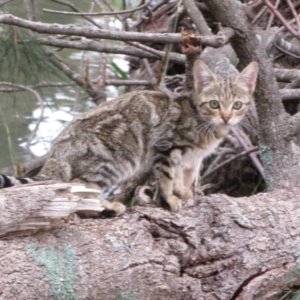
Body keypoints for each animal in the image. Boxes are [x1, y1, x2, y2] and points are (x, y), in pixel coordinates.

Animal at [0, 61, 258, 216]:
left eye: (237, 105)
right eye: (214, 104)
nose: (226, 117)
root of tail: (55, 152)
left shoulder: (188, 158)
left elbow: (180, 176)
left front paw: (183, 192)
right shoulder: (165, 146)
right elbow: (166, 177)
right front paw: (169, 200)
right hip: (116, 161)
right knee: (81, 188)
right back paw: (108, 207)